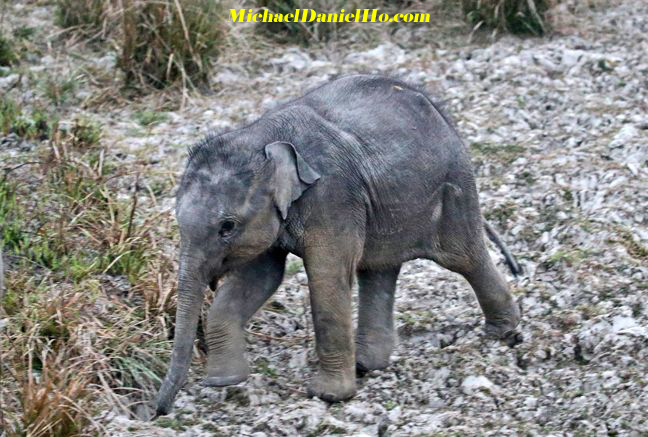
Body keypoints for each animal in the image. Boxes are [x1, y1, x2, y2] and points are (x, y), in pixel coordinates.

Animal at [156, 73, 520, 414]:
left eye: (226, 227)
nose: (159, 411)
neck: (262, 137)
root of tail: (435, 106)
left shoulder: (333, 196)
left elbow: (326, 276)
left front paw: (327, 396)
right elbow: (259, 278)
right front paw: (225, 381)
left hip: (453, 186)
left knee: (463, 256)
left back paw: (502, 334)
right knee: (379, 269)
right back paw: (366, 364)